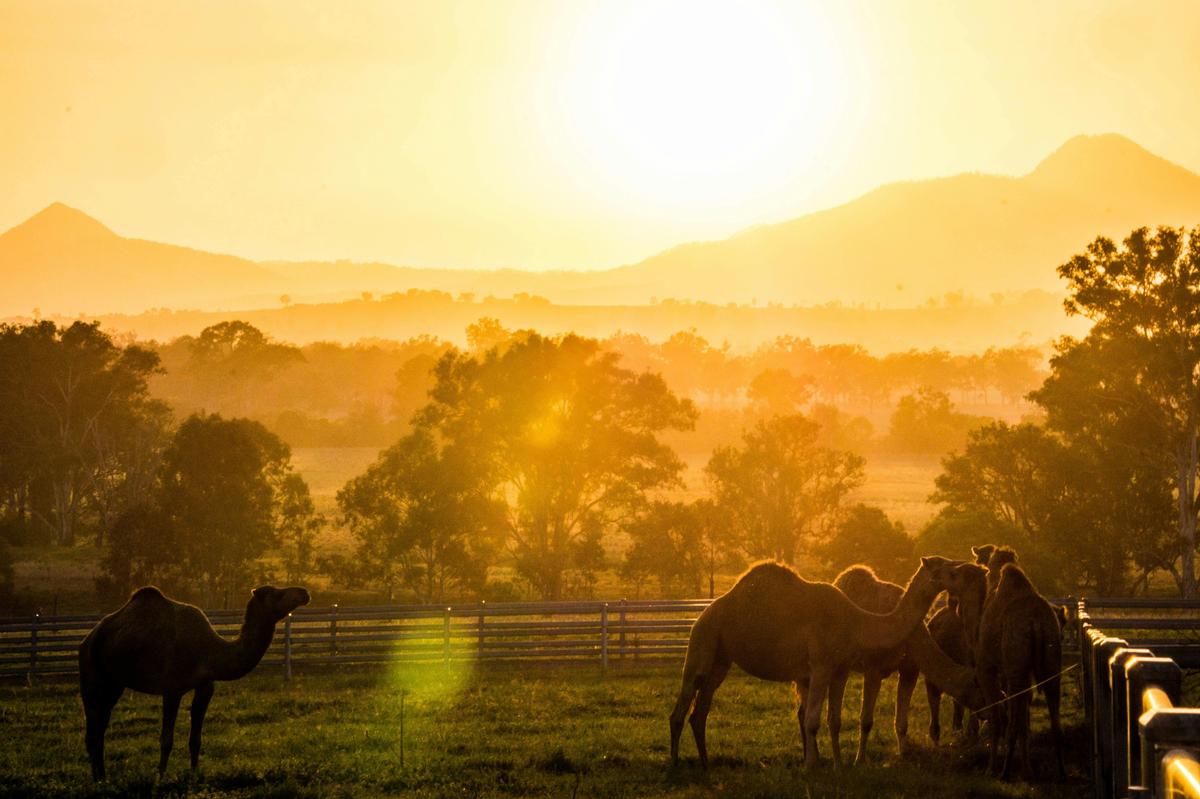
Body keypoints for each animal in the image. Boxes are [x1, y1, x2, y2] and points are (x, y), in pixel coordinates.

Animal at [78, 584, 310, 781]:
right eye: (276, 593)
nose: (304, 592)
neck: (208, 651)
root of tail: (88, 638)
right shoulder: (171, 688)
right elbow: (166, 740)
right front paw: (160, 777)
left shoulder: (206, 686)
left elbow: (196, 739)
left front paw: (194, 775)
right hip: (91, 674)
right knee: (92, 729)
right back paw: (98, 779)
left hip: (114, 683)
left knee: (100, 727)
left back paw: (103, 776)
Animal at [667, 556, 963, 770]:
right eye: (948, 568)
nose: (963, 568)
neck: (857, 621)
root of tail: (702, 614)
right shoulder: (821, 665)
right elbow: (812, 720)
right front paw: (811, 766)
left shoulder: (840, 669)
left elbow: (835, 719)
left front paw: (839, 764)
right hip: (702, 641)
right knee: (681, 706)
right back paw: (674, 765)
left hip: (721, 659)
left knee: (700, 711)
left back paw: (706, 764)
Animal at [826, 565, 984, 764]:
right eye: (977, 686)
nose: (986, 711)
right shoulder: (873, 669)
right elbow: (866, 721)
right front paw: (859, 760)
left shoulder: (910, 669)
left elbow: (902, 722)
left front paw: (903, 753)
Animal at [975, 563, 1065, 781]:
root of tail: (1036, 623)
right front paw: (1027, 770)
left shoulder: (986, 667)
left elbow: (997, 717)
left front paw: (990, 769)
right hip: (1051, 659)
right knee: (1053, 719)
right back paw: (1061, 773)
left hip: (1015, 662)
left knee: (1013, 722)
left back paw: (1004, 772)